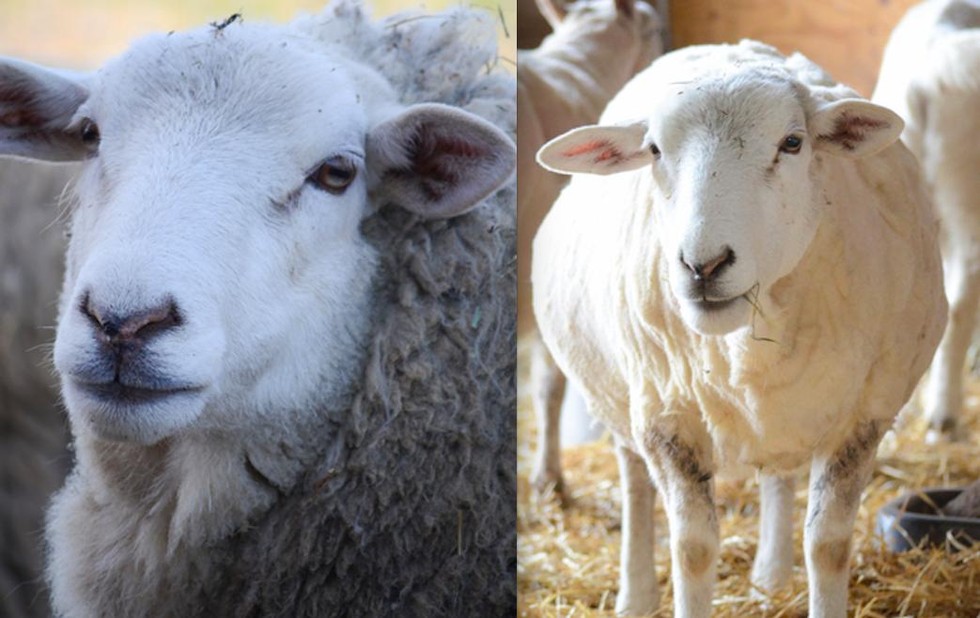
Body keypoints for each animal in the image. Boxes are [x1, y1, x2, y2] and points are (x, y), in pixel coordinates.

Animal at [532, 39, 944, 616]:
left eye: (793, 142)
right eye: (654, 150)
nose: (702, 266)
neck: (745, 335)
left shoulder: (865, 416)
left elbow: (828, 545)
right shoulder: (665, 422)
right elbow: (693, 549)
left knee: (778, 476)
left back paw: (771, 576)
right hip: (620, 397)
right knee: (635, 486)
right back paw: (637, 595)